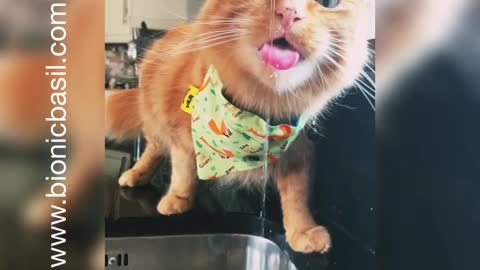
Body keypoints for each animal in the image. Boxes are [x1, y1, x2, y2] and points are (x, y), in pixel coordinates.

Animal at [107, 0, 374, 253]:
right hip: (155, 121)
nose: (289, 12)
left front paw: (302, 231)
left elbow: (297, 198)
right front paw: (178, 198)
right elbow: (184, 172)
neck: (261, 109)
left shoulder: (299, 151)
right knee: (153, 149)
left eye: (328, 3)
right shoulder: (183, 136)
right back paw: (136, 174)